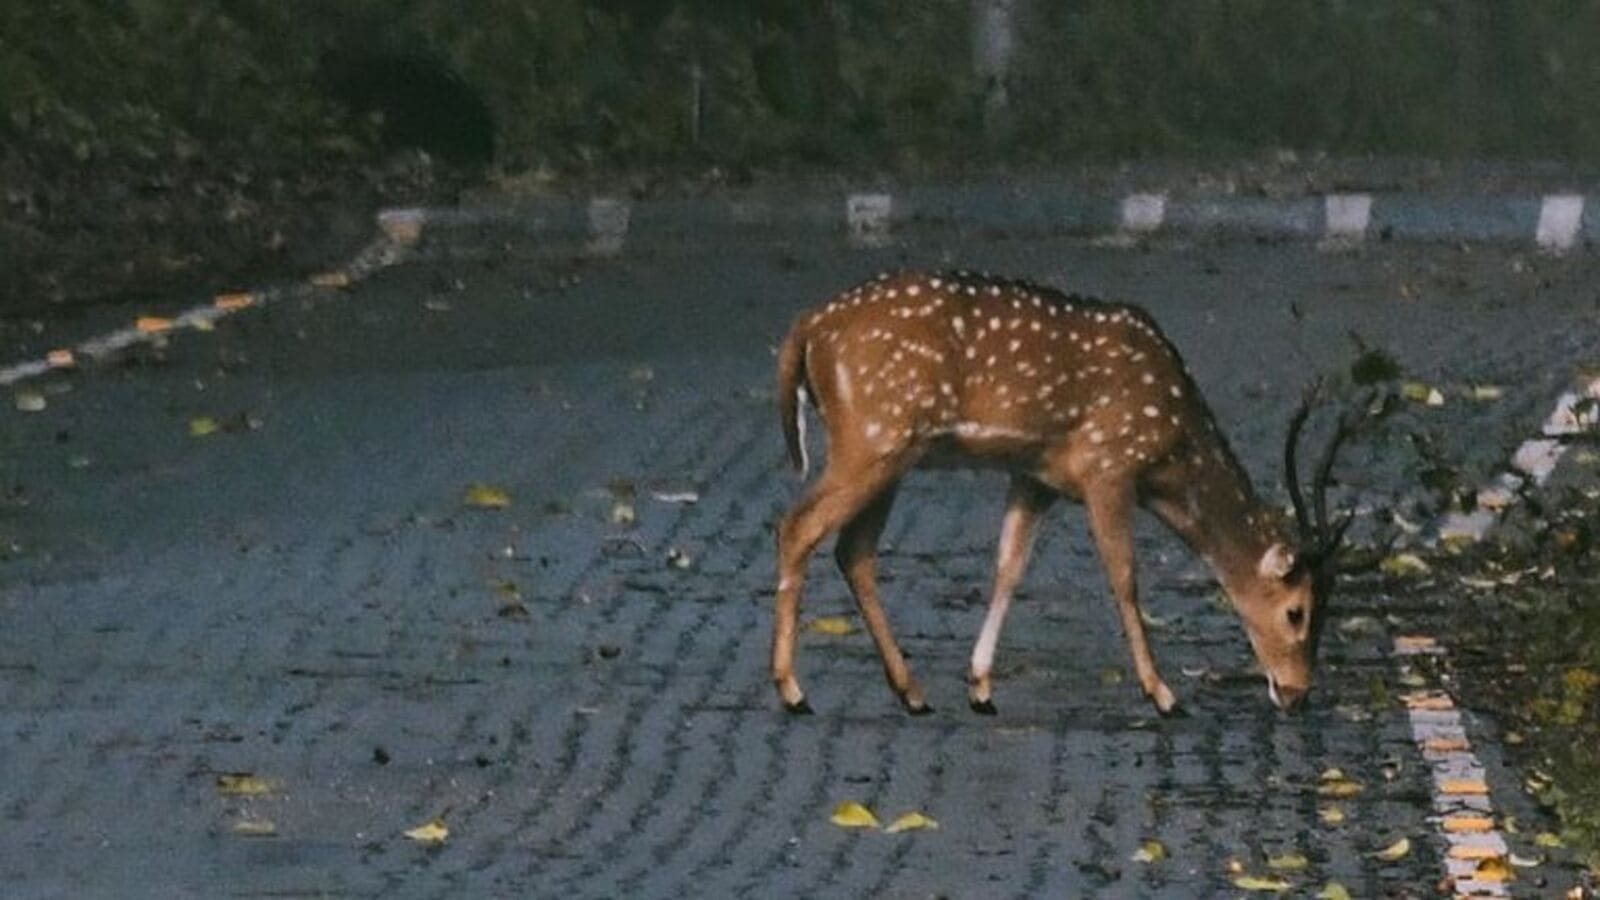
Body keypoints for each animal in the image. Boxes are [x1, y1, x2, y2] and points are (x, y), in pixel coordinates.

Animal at [769, 270, 1353, 717]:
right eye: (1296, 611)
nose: (1297, 693)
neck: (1170, 449)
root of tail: (807, 327)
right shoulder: (1108, 465)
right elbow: (1124, 577)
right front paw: (1163, 694)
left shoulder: (1035, 477)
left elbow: (1009, 567)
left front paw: (981, 687)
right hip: (874, 436)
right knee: (797, 526)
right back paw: (793, 691)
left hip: (890, 449)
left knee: (854, 551)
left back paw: (911, 693)